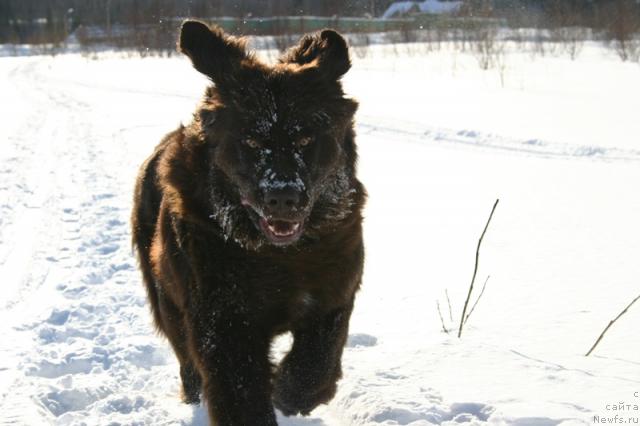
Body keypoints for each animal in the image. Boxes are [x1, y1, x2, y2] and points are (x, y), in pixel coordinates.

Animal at [130, 20, 364, 426]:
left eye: (306, 137)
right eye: (252, 141)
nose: (283, 195)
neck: (281, 256)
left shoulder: (335, 292)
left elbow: (317, 363)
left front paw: (290, 393)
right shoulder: (224, 322)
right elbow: (240, 393)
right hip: (167, 299)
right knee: (186, 360)